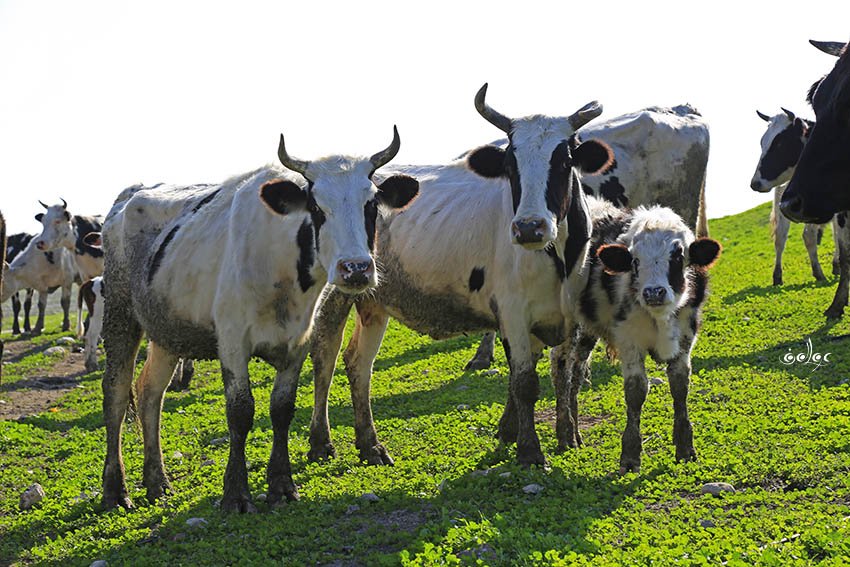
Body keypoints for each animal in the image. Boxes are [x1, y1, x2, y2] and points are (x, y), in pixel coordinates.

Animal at [100, 129, 419, 513]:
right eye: (316, 207)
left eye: (371, 204)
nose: (355, 269)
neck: (281, 269)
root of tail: (128, 197)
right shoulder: (232, 342)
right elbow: (240, 411)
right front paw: (236, 493)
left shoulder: (297, 342)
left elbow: (282, 409)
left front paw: (281, 484)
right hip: (120, 315)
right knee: (116, 395)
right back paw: (115, 490)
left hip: (167, 331)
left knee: (150, 392)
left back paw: (156, 481)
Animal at [306, 85, 613, 469]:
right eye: (509, 165)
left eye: (564, 161)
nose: (529, 227)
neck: (557, 255)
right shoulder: (512, 311)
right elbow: (525, 381)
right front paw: (529, 450)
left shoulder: (568, 316)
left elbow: (563, 373)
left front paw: (563, 434)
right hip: (336, 290)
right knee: (325, 356)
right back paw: (321, 442)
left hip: (374, 300)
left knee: (358, 363)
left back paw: (370, 445)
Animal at [552, 198, 721, 472]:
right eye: (635, 261)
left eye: (678, 256)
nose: (654, 292)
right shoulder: (629, 342)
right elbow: (636, 390)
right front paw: (630, 455)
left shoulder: (685, 339)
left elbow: (680, 387)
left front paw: (685, 448)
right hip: (565, 325)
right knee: (562, 371)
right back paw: (564, 434)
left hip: (587, 331)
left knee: (576, 372)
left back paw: (575, 434)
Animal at [751, 108, 841, 286]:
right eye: (762, 142)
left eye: (779, 143)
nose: (755, 183)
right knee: (808, 235)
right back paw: (819, 273)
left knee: (780, 236)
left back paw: (777, 276)